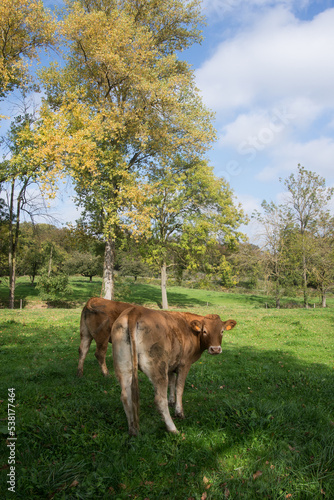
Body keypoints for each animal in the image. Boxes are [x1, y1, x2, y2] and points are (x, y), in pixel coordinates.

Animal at [111, 304, 236, 434]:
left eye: (222, 331)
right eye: (205, 331)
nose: (215, 349)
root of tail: (136, 310)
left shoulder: (171, 365)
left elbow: (172, 382)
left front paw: (172, 401)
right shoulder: (184, 364)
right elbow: (179, 387)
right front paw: (179, 411)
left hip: (123, 365)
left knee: (126, 396)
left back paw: (133, 430)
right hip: (158, 366)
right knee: (160, 400)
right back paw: (173, 429)